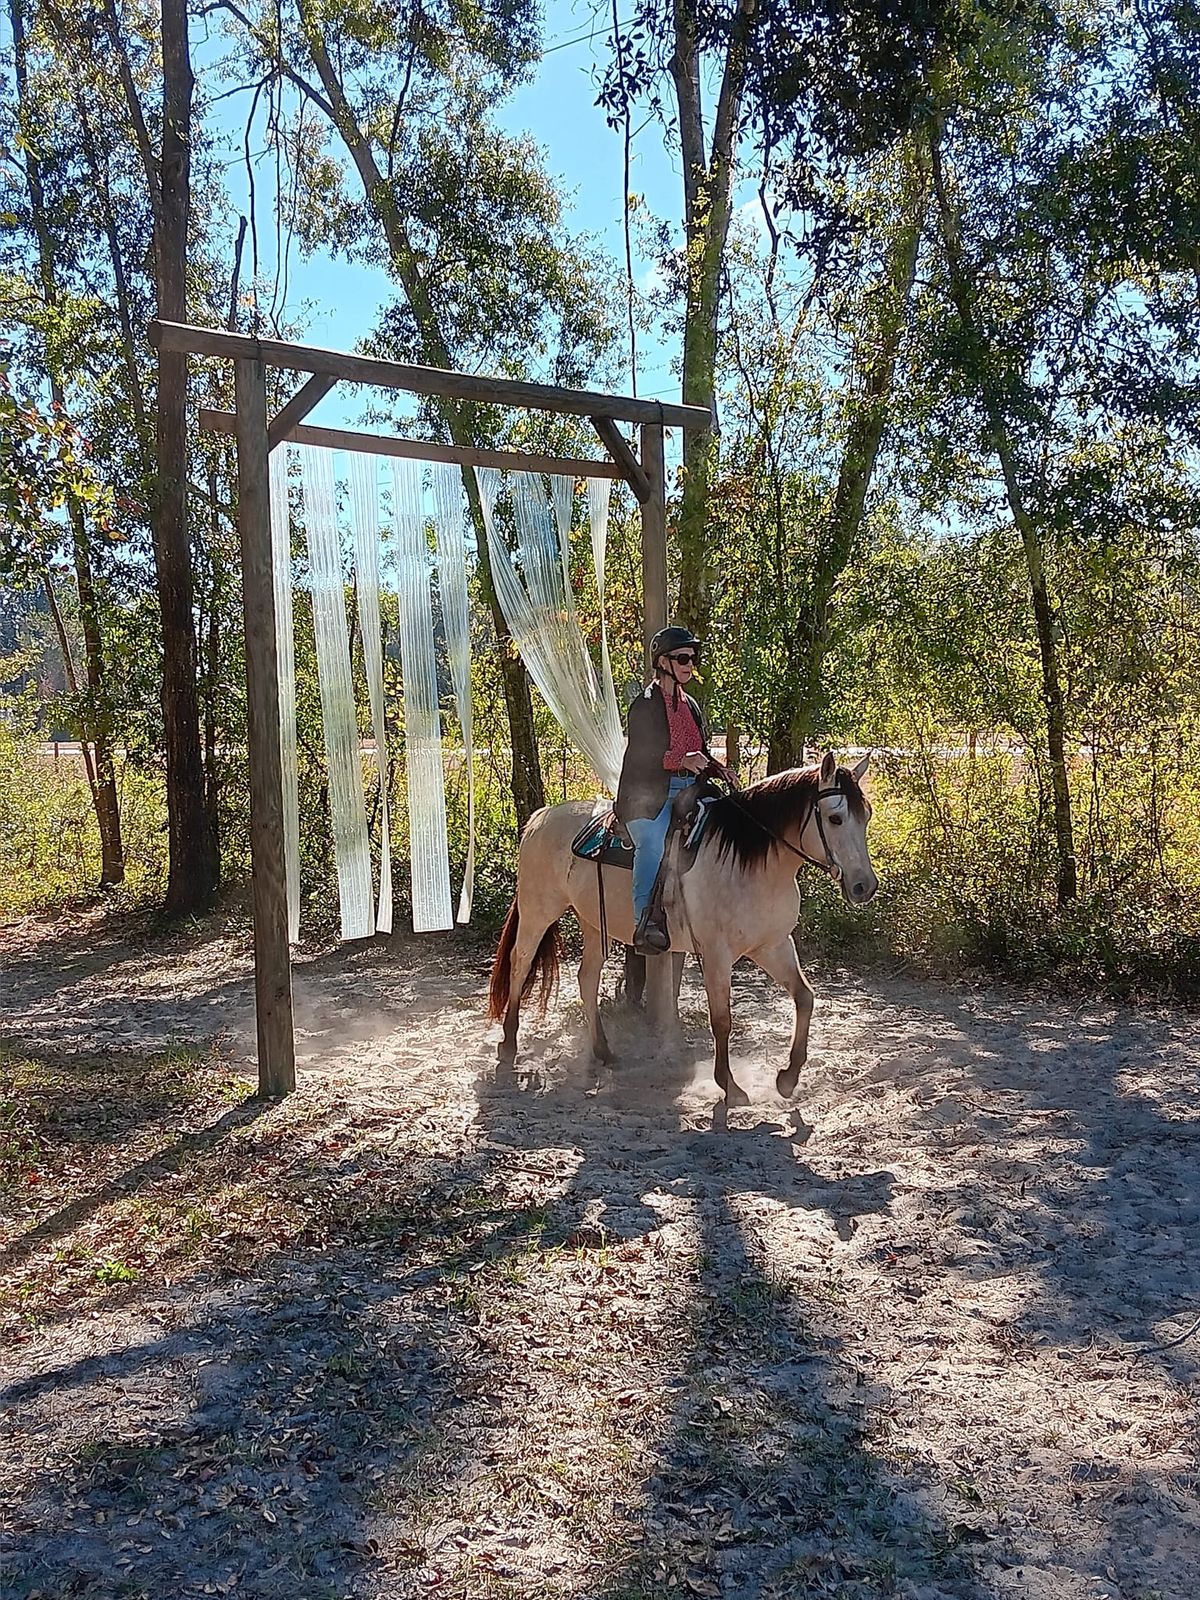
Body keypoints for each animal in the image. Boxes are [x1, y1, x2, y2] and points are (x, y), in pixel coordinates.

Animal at [489, 755, 883, 1107]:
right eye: (835, 818)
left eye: (867, 816)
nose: (864, 886)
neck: (748, 861)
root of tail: (541, 817)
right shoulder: (716, 954)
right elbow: (721, 1019)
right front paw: (730, 1086)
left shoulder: (773, 945)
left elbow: (804, 997)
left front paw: (787, 1078)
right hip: (538, 910)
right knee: (520, 963)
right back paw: (508, 1044)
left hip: (593, 921)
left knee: (587, 977)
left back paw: (603, 1051)